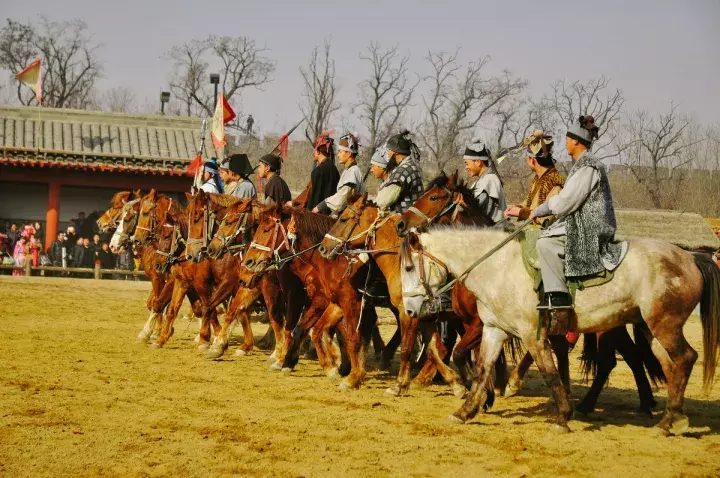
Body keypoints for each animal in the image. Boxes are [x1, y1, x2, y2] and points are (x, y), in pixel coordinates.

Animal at [394, 172, 664, 414]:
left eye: (434, 197)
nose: (400, 224)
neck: (483, 260)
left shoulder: (481, 323)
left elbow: (462, 353)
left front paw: (482, 393)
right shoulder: (478, 322)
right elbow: (478, 356)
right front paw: (484, 394)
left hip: (604, 327)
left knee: (610, 360)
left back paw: (585, 404)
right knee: (623, 356)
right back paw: (642, 402)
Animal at [400, 226, 720, 436]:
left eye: (408, 268)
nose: (410, 311)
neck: (498, 267)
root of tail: (691, 257)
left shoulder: (532, 335)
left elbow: (550, 373)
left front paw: (562, 417)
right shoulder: (493, 330)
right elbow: (480, 371)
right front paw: (464, 411)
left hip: (664, 325)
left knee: (685, 359)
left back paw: (669, 422)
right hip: (651, 329)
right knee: (670, 365)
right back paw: (670, 418)